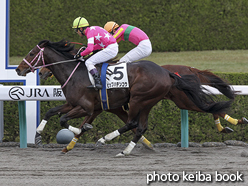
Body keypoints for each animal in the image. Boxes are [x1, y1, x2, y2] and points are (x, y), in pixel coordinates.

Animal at [16, 40, 233, 156]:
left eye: (32, 53)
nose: (19, 69)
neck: (75, 72)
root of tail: (167, 73)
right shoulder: (74, 104)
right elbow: (51, 111)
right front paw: (38, 135)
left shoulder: (87, 107)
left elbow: (65, 120)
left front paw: (79, 130)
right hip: (150, 102)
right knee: (140, 126)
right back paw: (125, 150)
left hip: (140, 98)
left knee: (133, 123)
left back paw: (105, 139)